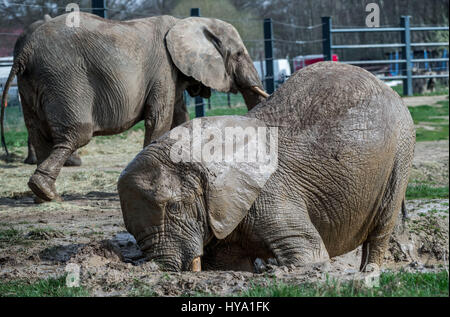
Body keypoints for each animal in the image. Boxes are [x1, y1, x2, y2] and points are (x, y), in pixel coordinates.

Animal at [0, 12, 268, 200]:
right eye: (239, 55)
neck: (187, 22)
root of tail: (25, 51)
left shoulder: (172, 75)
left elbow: (179, 118)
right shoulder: (163, 69)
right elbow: (159, 119)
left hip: (32, 84)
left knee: (37, 132)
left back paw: (42, 196)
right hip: (64, 79)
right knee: (77, 133)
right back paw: (47, 192)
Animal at [117, 62, 414, 272]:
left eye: (176, 207)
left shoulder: (272, 191)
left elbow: (309, 254)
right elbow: (228, 265)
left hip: (401, 149)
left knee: (383, 224)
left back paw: (369, 272)